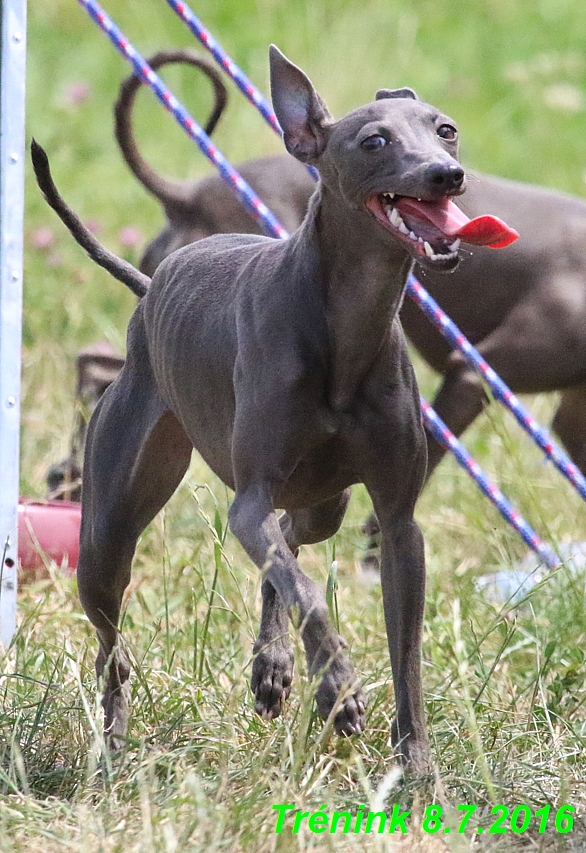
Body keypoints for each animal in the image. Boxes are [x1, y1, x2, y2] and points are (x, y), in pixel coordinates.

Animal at [34, 46, 512, 764]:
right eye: (375, 141)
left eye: (445, 130)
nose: (446, 175)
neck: (345, 327)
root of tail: (152, 285)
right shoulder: (249, 498)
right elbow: (309, 592)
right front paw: (339, 687)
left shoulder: (399, 524)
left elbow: (404, 653)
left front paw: (416, 765)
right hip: (107, 530)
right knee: (112, 644)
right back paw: (114, 743)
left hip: (323, 502)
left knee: (286, 543)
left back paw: (272, 668)